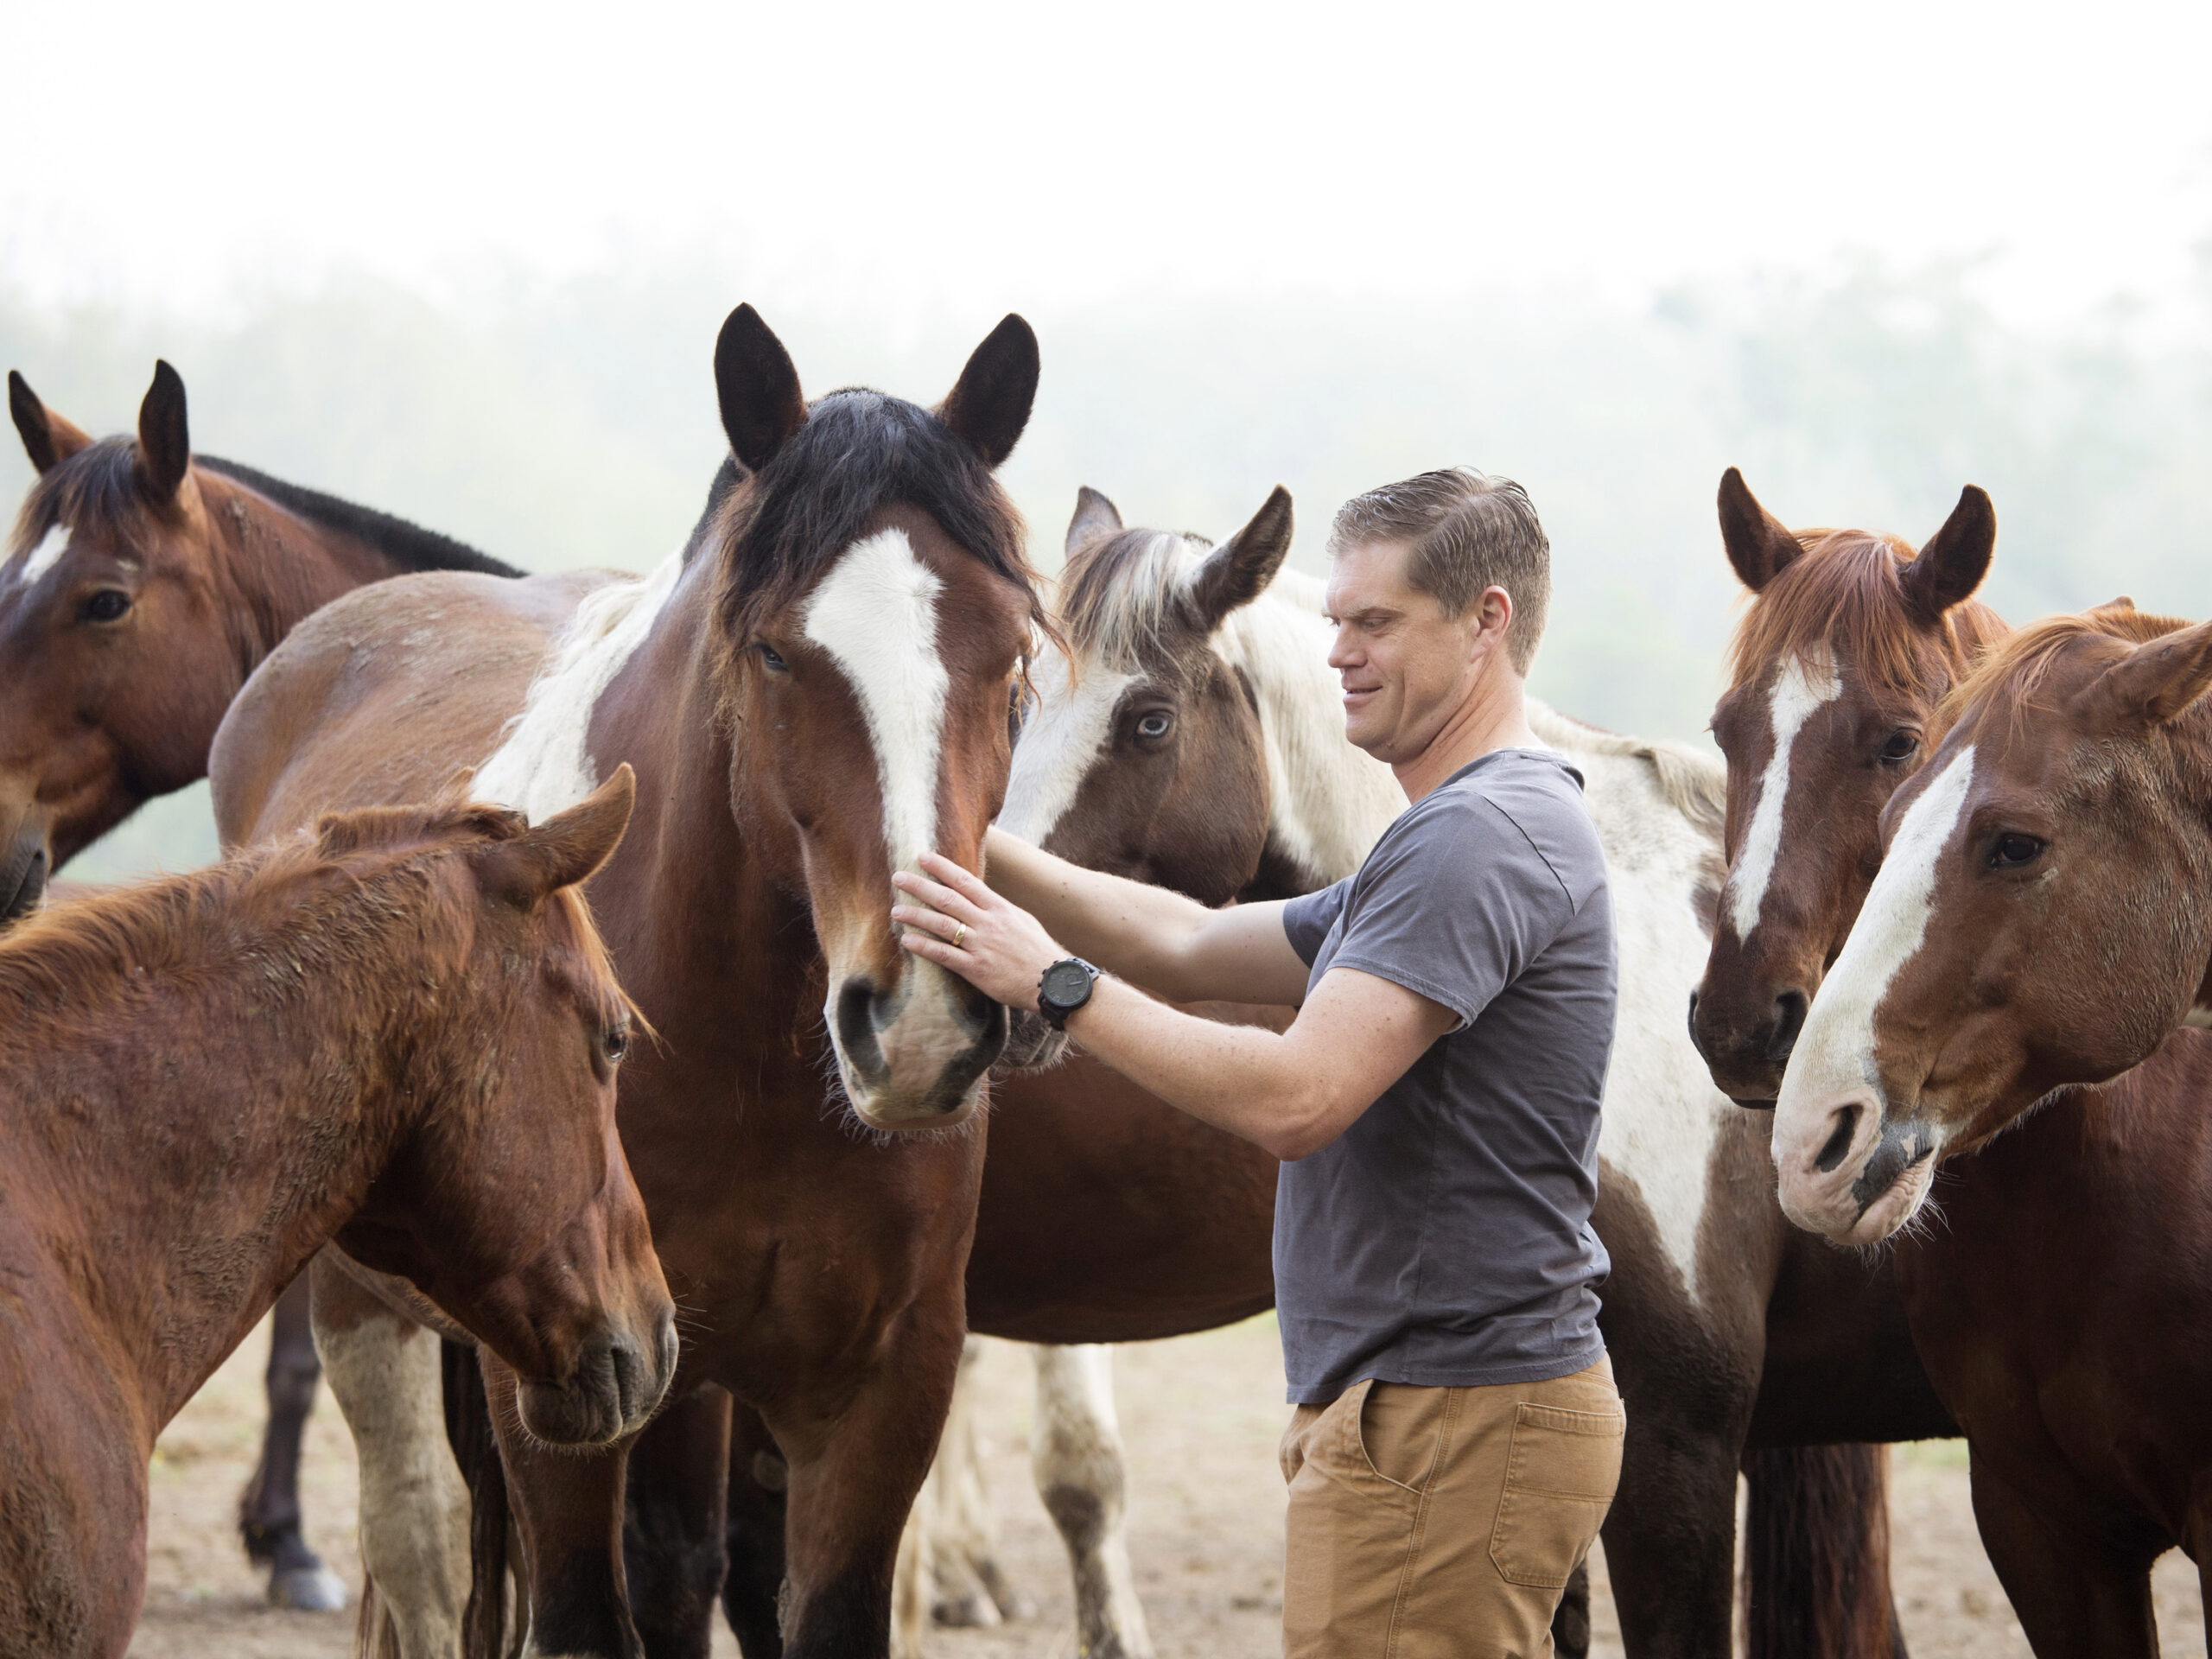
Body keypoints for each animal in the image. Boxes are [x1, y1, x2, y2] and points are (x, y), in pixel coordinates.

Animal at [208, 305, 1044, 1654]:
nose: (920, 1026)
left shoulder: (876, 1394)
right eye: (774, 654)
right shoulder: (568, 1391)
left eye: (1012, 655)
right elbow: (587, 1614)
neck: (743, 1058)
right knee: (420, 1553)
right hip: (370, 1326)